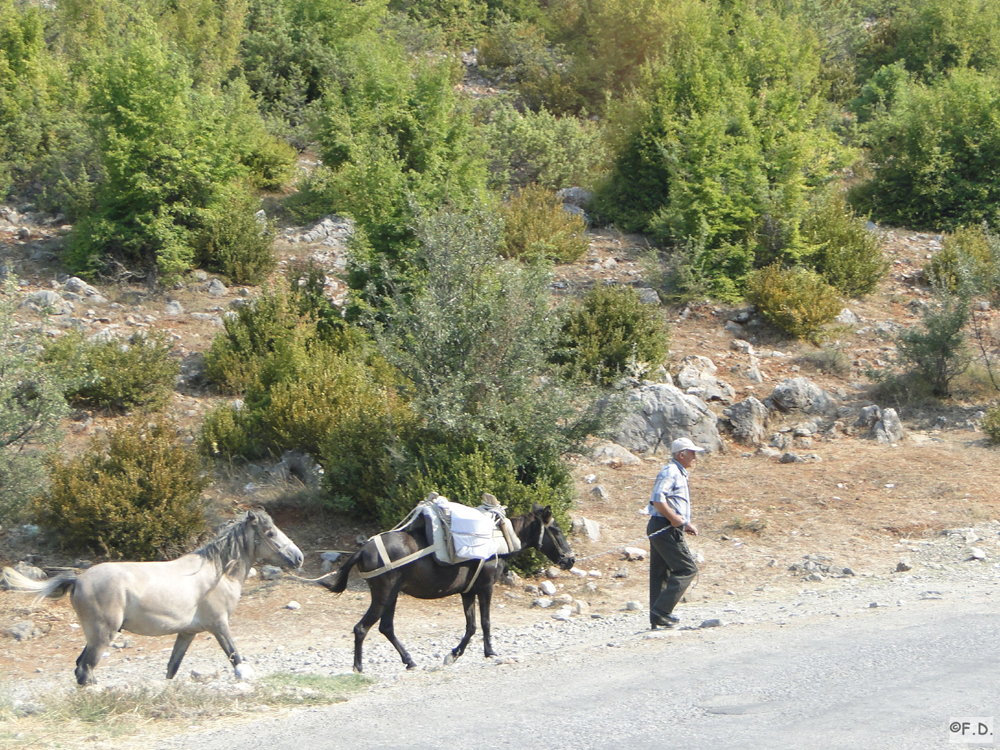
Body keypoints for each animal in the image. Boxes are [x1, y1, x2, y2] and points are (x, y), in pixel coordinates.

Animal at [1, 512, 302, 688]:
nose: (298, 557)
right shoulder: (219, 625)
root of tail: (78, 579)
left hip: (95, 636)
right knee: (85, 669)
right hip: (102, 635)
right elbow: (236, 658)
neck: (217, 573)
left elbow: (172, 667)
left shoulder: (187, 632)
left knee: (80, 668)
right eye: (270, 533)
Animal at [324, 506, 576, 676]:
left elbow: (471, 626)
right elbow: (485, 622)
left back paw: (409, 661)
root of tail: (363, 550)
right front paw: (490, 651)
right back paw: (358, 667)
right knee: (361, 628)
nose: (571, 559)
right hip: (383, 595)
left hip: (392, 595)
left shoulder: (467, 591)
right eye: (556, 530)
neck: (499, 540)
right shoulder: (485, 587)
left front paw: (454, 654)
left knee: (386, 627)